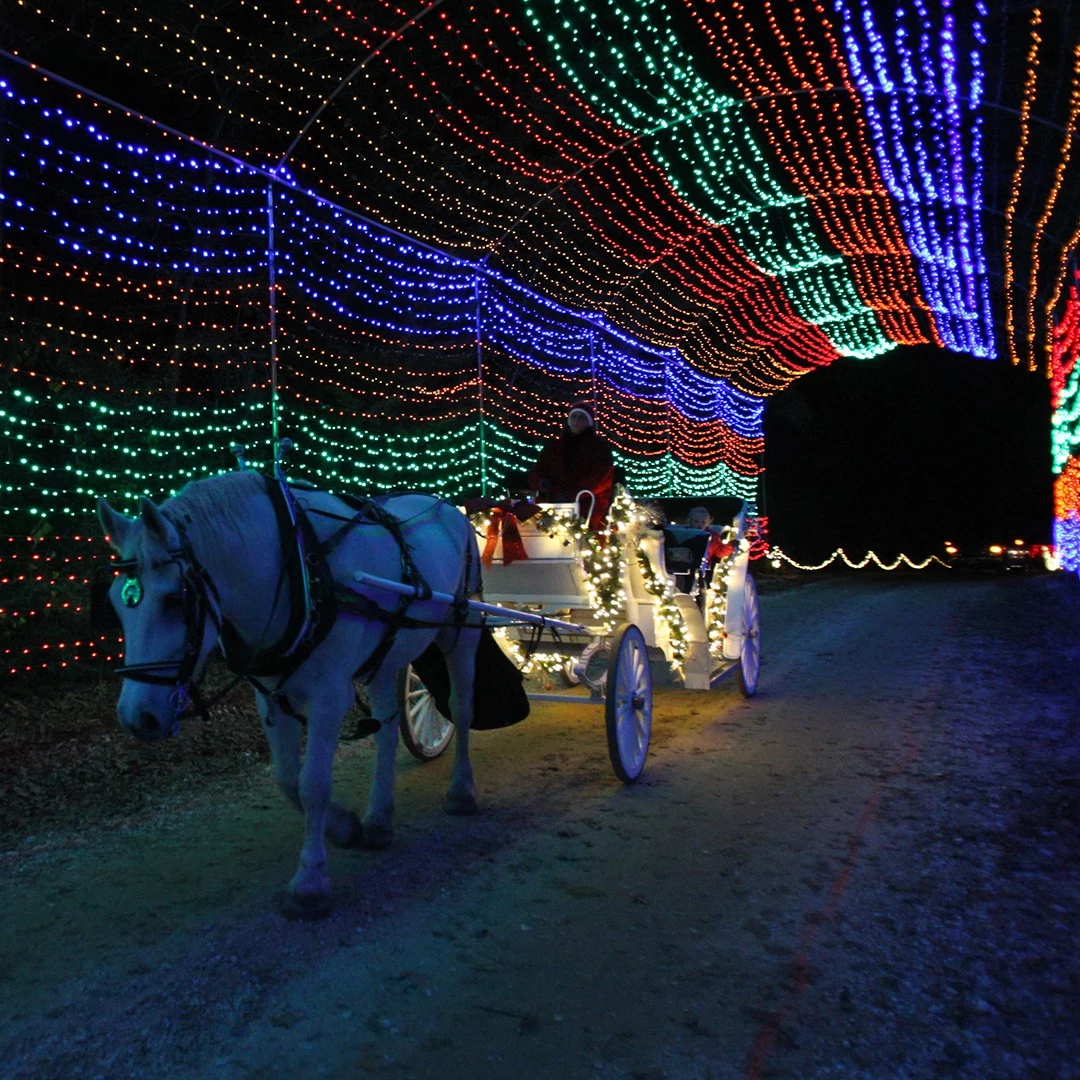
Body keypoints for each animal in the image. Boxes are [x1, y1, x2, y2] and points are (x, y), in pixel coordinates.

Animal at [97, 473, 481, 920]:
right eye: (115, 603)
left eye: (174, 598)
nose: (135, 716)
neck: (297, 567)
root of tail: (450, 507)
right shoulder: (272, 697)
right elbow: (286, 779)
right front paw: (344, 827)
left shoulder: (330, 696)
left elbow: (312, 784)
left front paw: (310, 882)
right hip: (386, 658)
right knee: (386, 729)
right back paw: (379, 818)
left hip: (462, 633)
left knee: (461, 709)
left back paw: (461, 791)